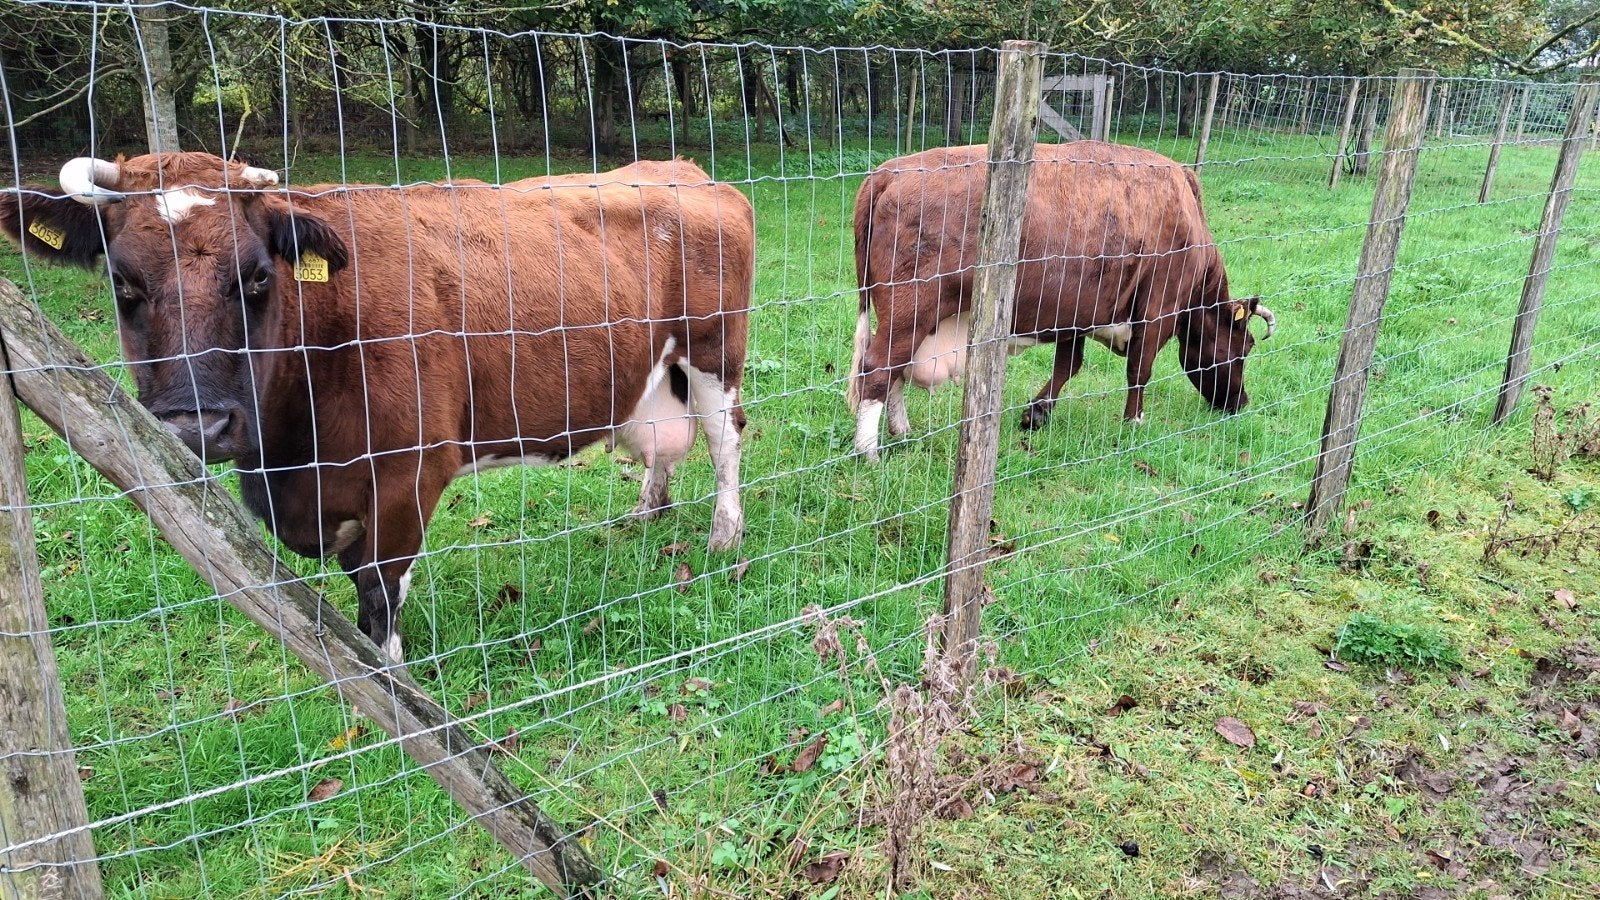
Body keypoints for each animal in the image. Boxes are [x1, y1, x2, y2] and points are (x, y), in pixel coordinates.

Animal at [1, 151, 753, 663]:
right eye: (122, 284)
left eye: (257, 278)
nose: (198, 424)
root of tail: (683, 169)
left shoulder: (407, 472)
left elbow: (377, 589)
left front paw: (392, 687)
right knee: (664, 448)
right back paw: (648, 509)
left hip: (715, 352)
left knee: (726, 440)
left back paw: (724, 535)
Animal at [845, 141, 1274, 459]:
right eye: (1245, 347)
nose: (1241, 402)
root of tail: (889, 172)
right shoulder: (1157, 309)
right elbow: (1139, 369)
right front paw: (1134, 421)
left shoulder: (1078, 312)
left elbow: (1069, 366)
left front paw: (1037, 413)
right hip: (911, 309)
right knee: (878, 367)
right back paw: (870, 452)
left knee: (895, 371)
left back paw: (902, 431)